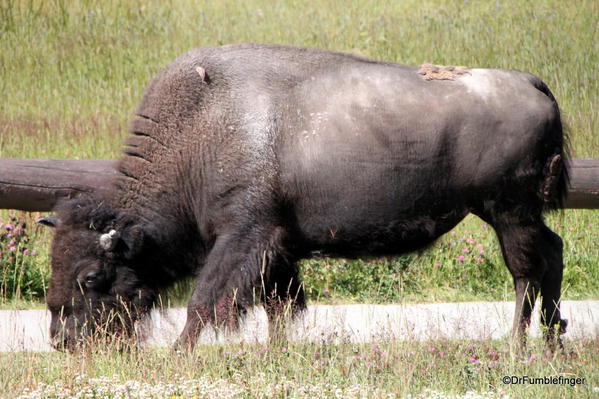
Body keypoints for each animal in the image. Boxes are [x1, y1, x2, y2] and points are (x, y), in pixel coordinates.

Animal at [39, 42, 568, 352]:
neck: (201, 133)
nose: (64, 342)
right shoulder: (277, 247)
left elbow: (205, 301)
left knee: (525, 271)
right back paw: (552, 338)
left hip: (508, 211)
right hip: (513, 213)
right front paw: (278, 352)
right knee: (552, 252)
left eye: (91, 278)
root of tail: (530, 82)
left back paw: (518, 344)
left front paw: (179, 355)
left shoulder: (243, 236)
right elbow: (279, 304)